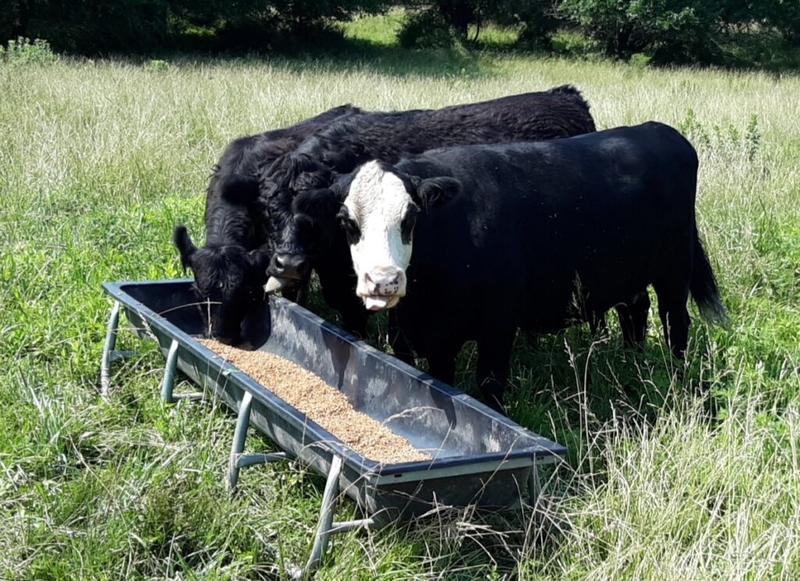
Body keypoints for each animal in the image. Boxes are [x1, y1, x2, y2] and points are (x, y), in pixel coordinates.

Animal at [334, 122, 728, 413]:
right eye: (347, 222)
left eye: (411, 217)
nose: (383, 280)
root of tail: (659, 130)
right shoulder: (430, 337)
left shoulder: (499, 321)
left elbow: (491, 382)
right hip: (627, 272)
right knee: (636, 312)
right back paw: (633, 363)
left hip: (674, 269)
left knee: (675, 322)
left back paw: (675, 377)